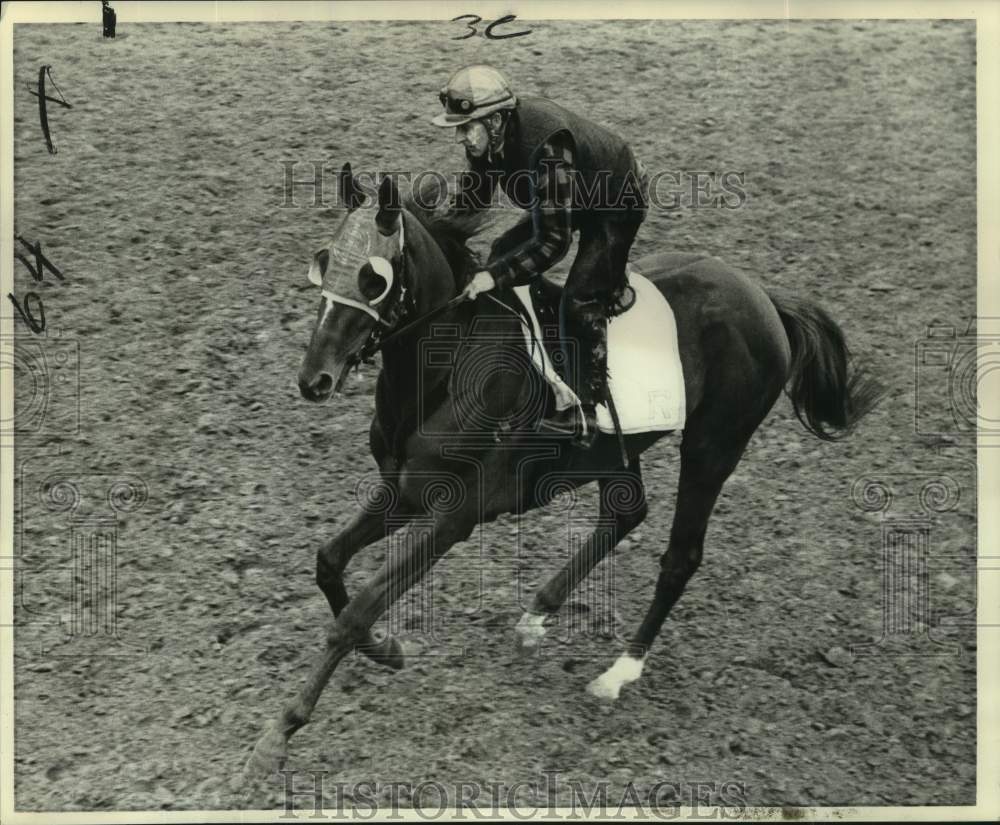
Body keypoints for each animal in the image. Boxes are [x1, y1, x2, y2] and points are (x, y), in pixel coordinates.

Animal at [244, 164, 884, 776]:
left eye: (373, 279)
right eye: (324, 264)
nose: (314, 379)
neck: (446, 368)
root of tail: (766, 299)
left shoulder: (455, 517)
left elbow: (359, 607)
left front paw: (280, 732)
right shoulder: (400, 492)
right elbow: (329, 563)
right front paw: (385, 649)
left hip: (714, 445)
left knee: (680, 556)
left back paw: (618, 672)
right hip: (618, 449)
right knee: (627, 514)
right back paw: (538, 613)